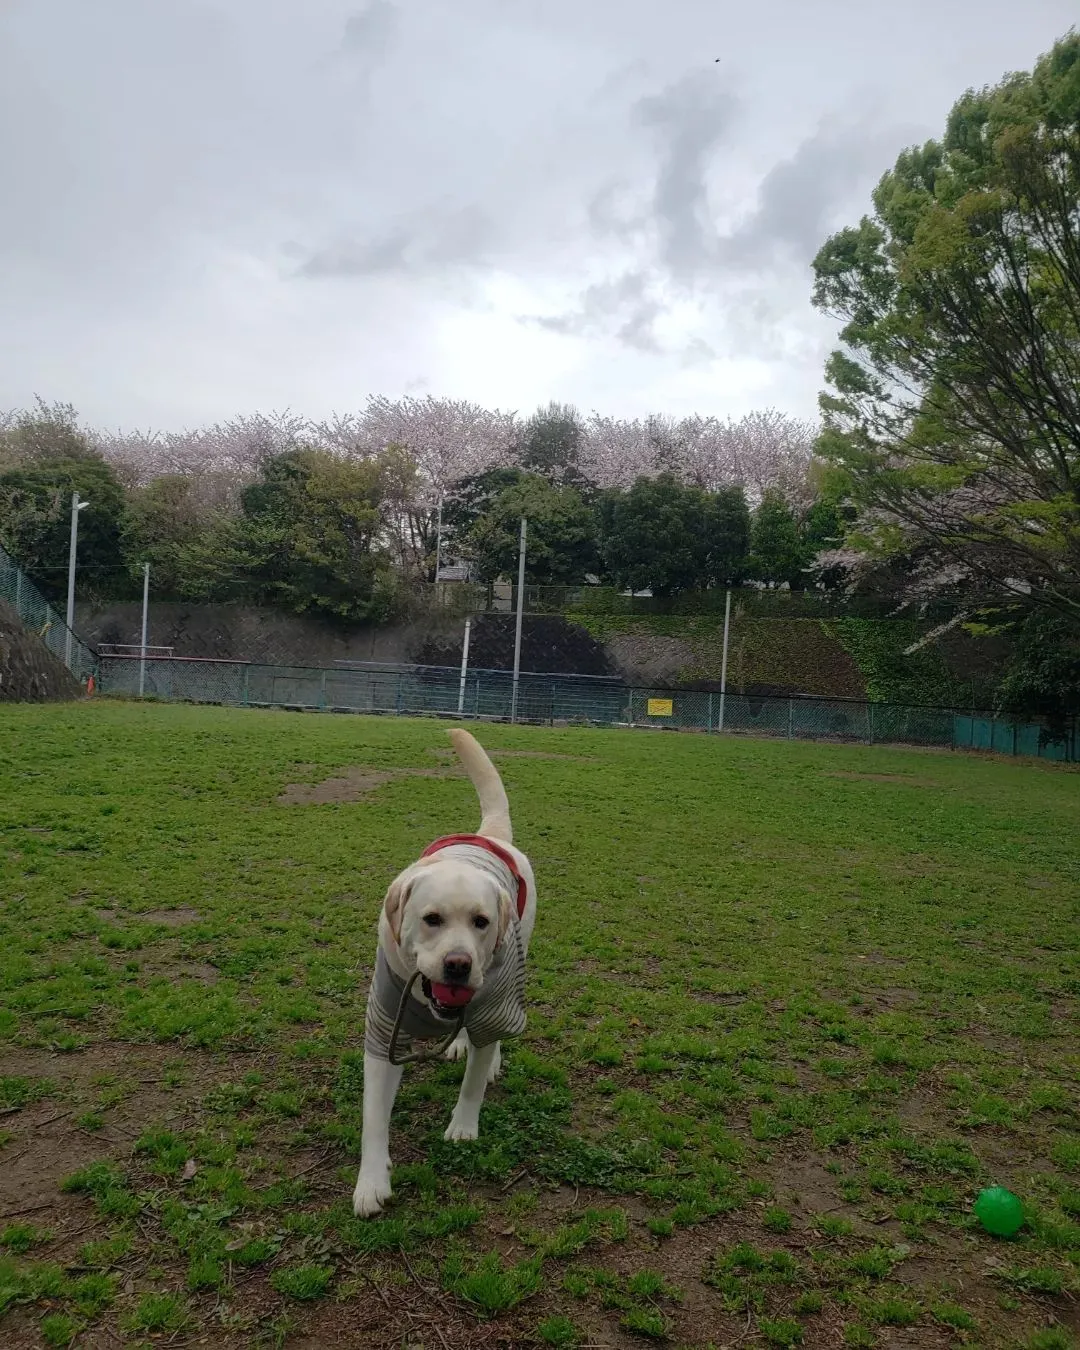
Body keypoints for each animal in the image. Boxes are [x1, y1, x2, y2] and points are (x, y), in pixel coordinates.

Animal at [353, 734, 534, 1220]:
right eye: (431, 919)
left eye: (481, 922)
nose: (458, 964)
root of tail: (488, 836)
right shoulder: (384, 1030)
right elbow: (374, 1116)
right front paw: (371, 1181)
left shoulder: (490, 1004)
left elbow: (473, 1079)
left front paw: (464, 1127)